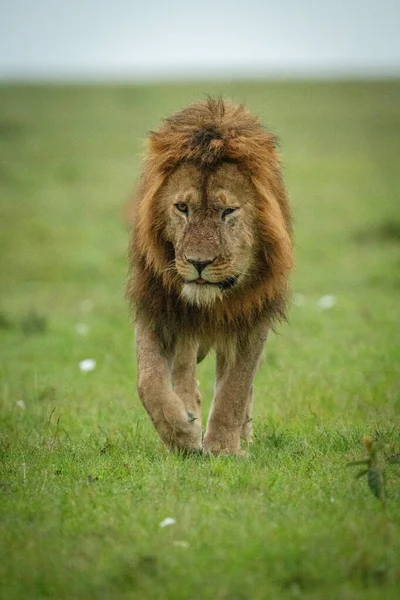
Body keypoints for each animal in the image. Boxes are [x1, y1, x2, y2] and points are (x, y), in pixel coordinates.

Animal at [128, 98, 294, 454]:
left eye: (227, 211)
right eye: (182, 208)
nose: (198, 263)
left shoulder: (253, 316)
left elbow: (236, 388)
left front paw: (223, 447)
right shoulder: (154, 305)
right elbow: (148, 381)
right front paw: (182, 434)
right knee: (183, 366)